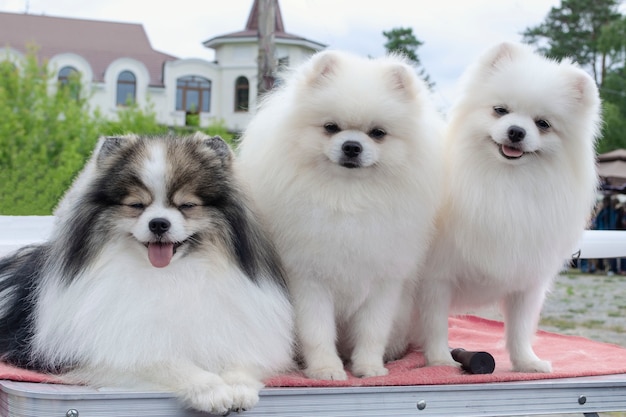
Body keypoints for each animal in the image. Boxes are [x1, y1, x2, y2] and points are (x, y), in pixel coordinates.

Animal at [235, 50, 444, 378]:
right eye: (330, 127)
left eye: (378, 133)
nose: (352, 146)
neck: (347, 198)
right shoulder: (309, 279)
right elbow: (317, 330)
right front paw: (325, 369)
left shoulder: (384, 280)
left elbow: (373, 329)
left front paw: (369, 367)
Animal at [414, 42, 600, 372]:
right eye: (500, 110)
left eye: (543, 124)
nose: (516, 131)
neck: (505, 182)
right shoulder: (436, 277)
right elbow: (435, 324)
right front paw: (440, 361)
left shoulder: (526, 282)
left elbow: (520, 328)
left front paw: (527, 362)